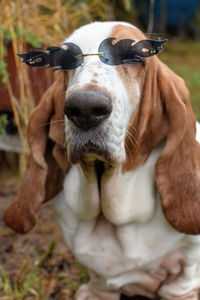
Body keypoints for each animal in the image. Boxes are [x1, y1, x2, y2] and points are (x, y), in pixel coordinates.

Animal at [3, 21, 200, 300]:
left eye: (135, 57)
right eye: (65, 61)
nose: (85, 109)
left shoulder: (189, 259)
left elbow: (180, 283)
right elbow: (99, 281)